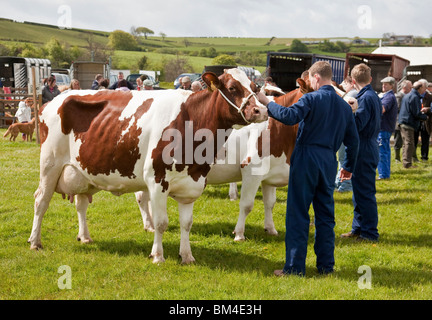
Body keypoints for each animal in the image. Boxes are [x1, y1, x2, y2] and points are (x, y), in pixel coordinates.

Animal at [27, 69, 266, 264]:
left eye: (255, 87)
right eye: (233, 87)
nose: (260, 111)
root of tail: (54, 100)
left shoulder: (192, 185)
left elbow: (186, 223)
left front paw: (187, 256)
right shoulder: (157, 180)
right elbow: (160, 222)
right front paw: (158, 256)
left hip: (83, 172)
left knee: (81, 204)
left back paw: (85, 237)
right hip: (50, 164)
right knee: (41, 200)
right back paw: (35, 241)